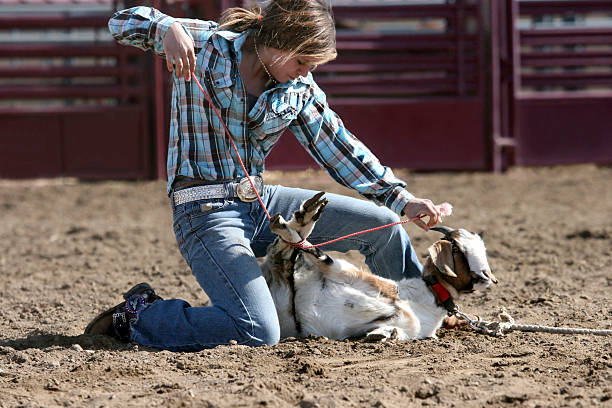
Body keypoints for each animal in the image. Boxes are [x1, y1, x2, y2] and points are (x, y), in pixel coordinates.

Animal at [260, 191, 500, 342]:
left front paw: (382, 333)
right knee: (287, 247)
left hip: (284, 298)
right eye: (457, 249)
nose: (489, 278)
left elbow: (391, 330)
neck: (427, 295)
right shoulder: (350, 274)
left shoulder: (411, 328)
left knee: (280, 256)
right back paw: (303, 218)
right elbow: (321, 256)